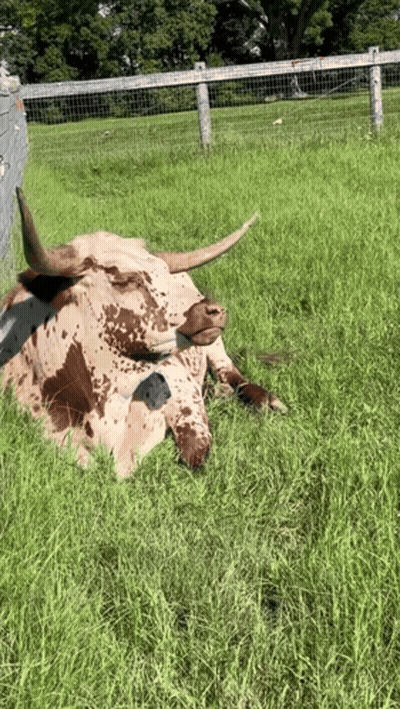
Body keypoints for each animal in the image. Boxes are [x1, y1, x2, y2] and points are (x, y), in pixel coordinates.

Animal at [0, 188, 287, 477]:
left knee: (232, 373)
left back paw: (265, 399)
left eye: (164, 272)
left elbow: (194, 457)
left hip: (215, 347)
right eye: (124, 280)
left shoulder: (181, 386)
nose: (214, 310)